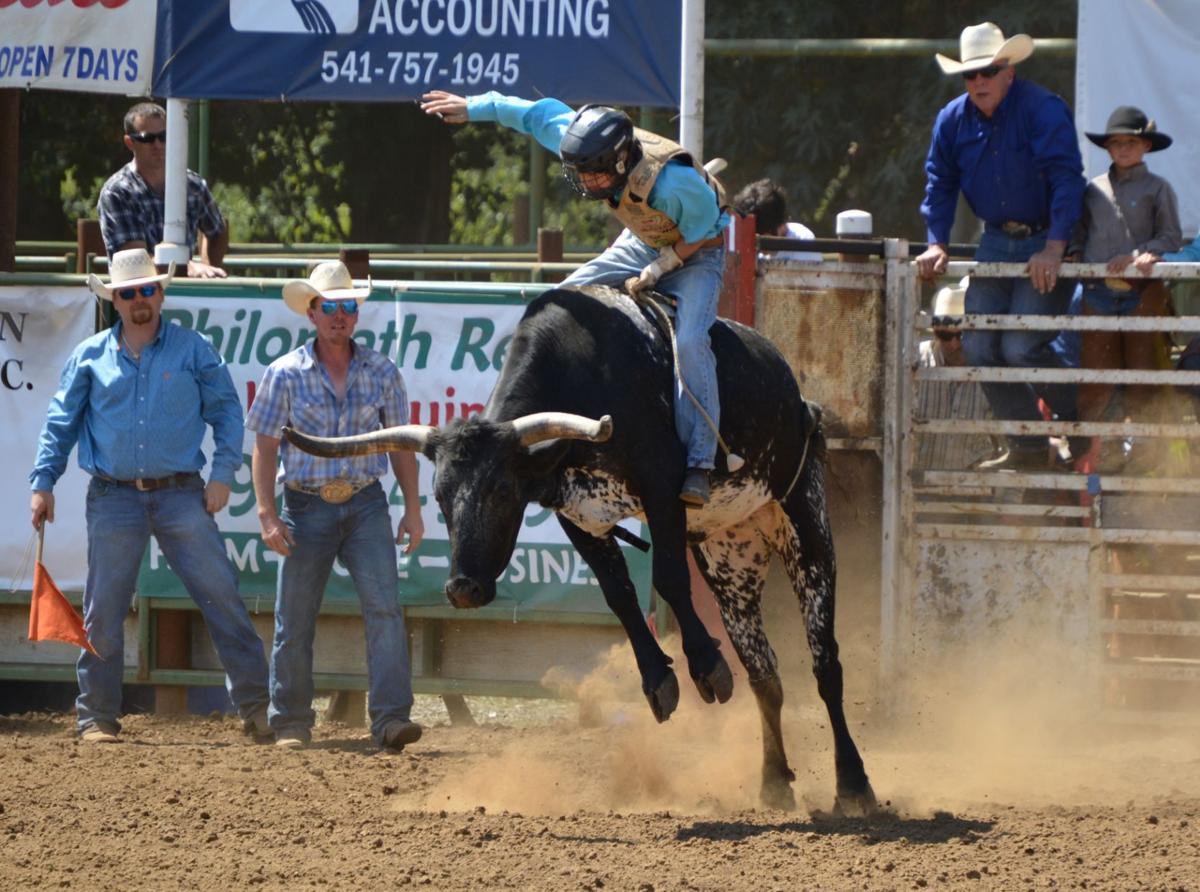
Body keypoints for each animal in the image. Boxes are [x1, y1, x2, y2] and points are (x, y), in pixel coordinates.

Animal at [284, 284, 878, 816]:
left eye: (504, 491)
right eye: (440, 497)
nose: (462, 588)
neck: (587, 367)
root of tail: (794, 390)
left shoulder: (664, 488)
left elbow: (665, 579)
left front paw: (706, 667)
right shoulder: (579, 516)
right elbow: (619, 595)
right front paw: (660, 681)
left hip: (804, 522)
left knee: (825, 665)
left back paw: (854, 785)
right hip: (730, 558)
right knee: (765, 676)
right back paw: (775, 782)